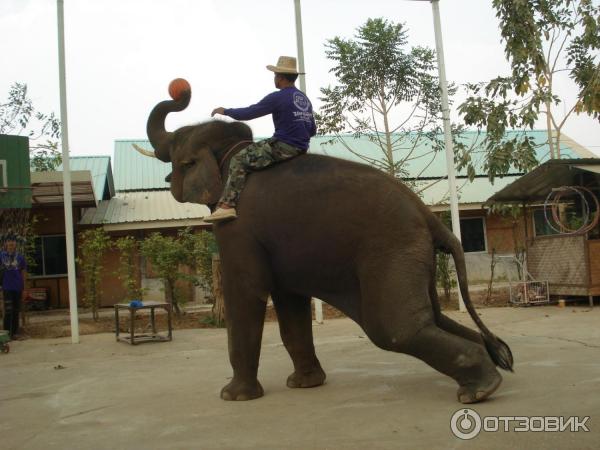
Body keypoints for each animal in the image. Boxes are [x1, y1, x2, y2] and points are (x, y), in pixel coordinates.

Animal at [144, 86, 510, 402]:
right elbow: (290, 302)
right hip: (415, 254)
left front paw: (233, 397)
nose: (182, 90)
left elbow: (247, 291)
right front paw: (304, 385)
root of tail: (427, 215)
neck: (233, 154)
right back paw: (492, 370)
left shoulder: (236, 227)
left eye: (176, 149)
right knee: (430, 318)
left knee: (393, 328)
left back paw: (479, 391)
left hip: (392, 248)